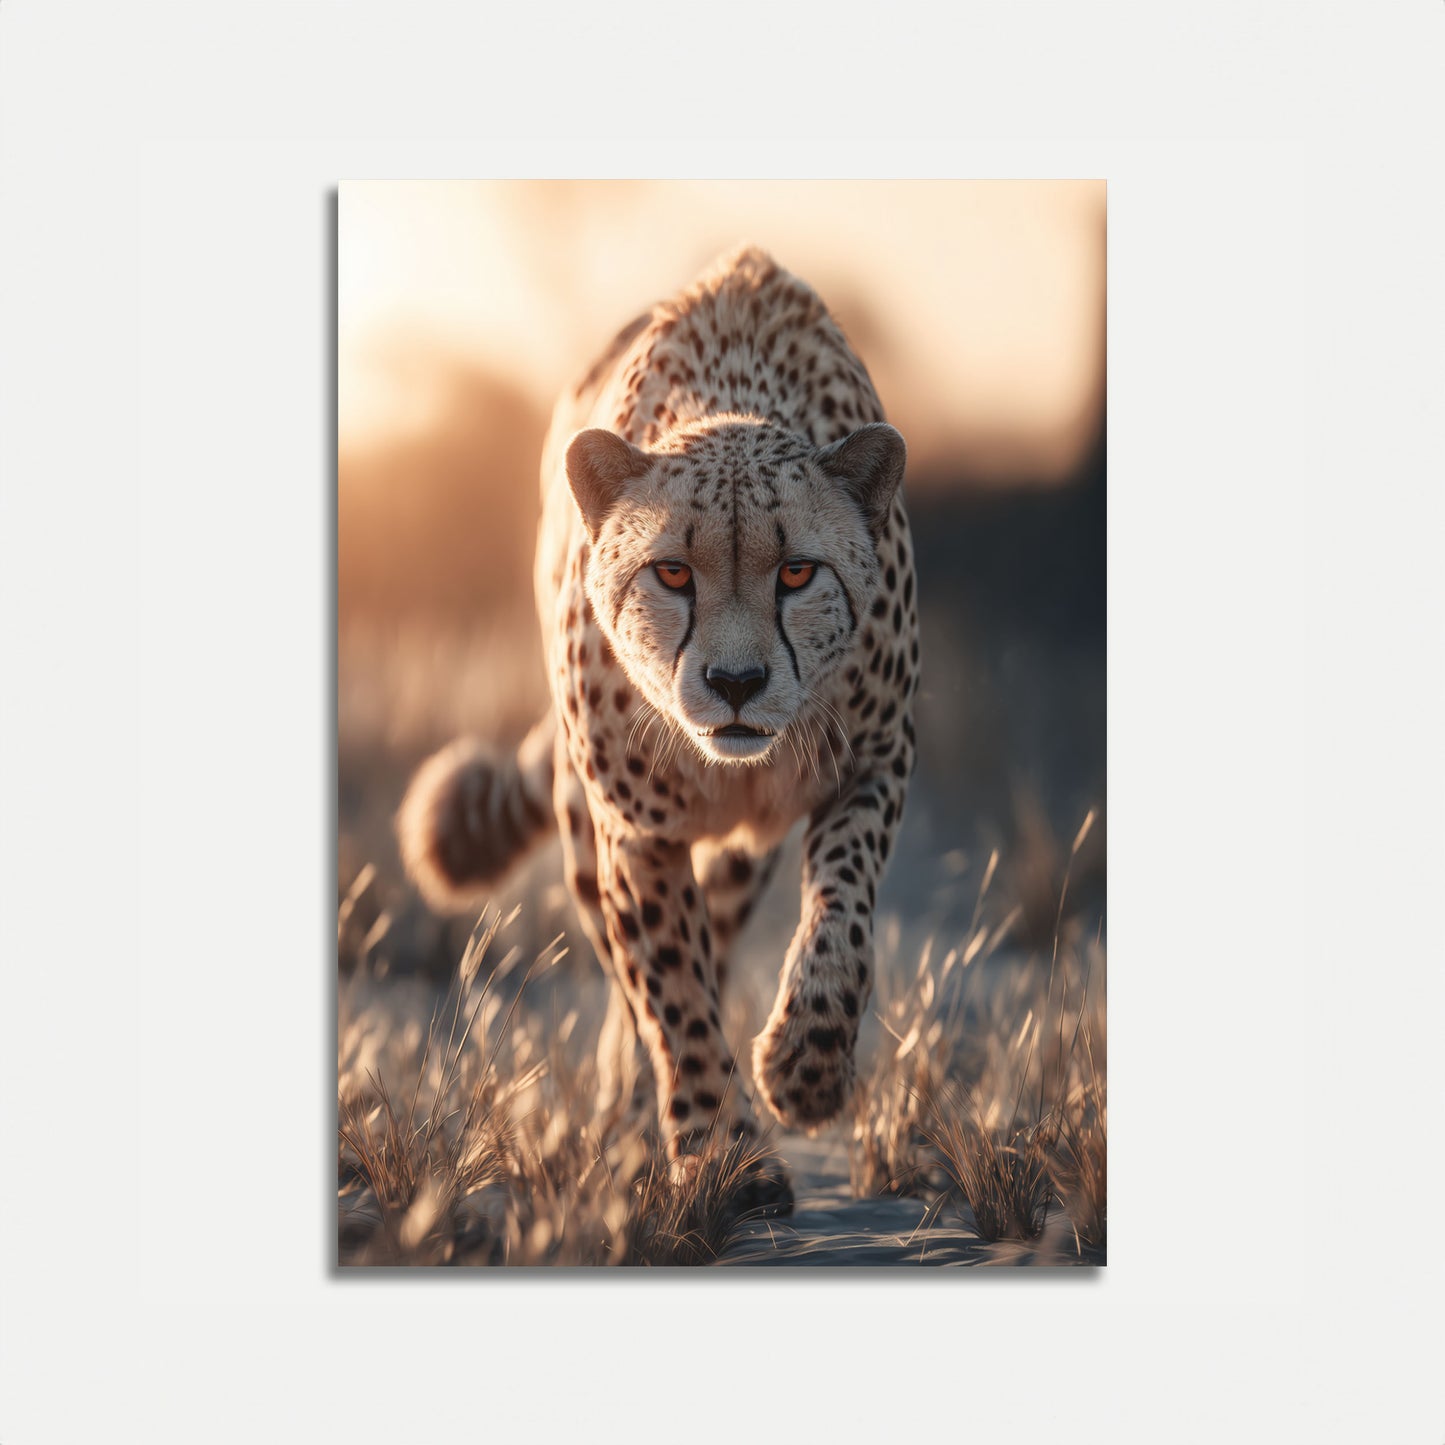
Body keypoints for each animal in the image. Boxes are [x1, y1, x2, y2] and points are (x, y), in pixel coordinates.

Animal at [397, 246, 920, 1207]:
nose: (736, 682)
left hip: (739, 852)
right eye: (672, 572)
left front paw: (805, 1070)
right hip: (583, 831)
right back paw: (628, 1111)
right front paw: (726, 1157)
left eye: (797, 572)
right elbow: (672, 992)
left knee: (716, 930)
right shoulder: (634, 828)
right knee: (627, 973)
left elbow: (841, 920)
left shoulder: (872, 763)